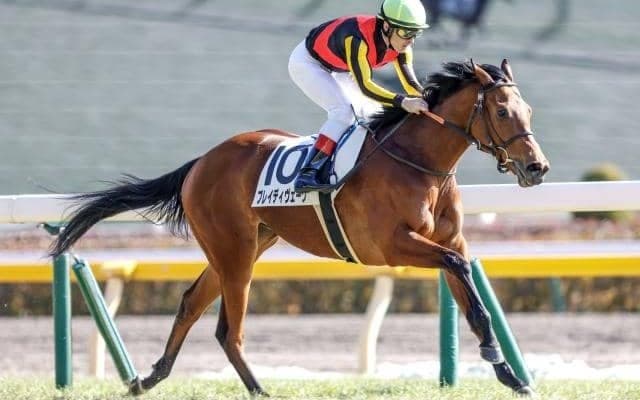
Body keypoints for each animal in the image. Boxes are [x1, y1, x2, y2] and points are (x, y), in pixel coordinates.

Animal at [50, 59, 549, 396]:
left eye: (529, 109)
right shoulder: (391, 247)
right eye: (502, 113)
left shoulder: (449, 240)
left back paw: (149, 377)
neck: (418, 163)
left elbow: (470, 292)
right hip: (234, 252)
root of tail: (201, 161)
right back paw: (257, 389)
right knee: (228, 330)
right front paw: (498, 360)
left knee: (192, 303)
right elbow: (457, 268)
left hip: (245, 246)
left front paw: (509, 373)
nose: (537, 167)